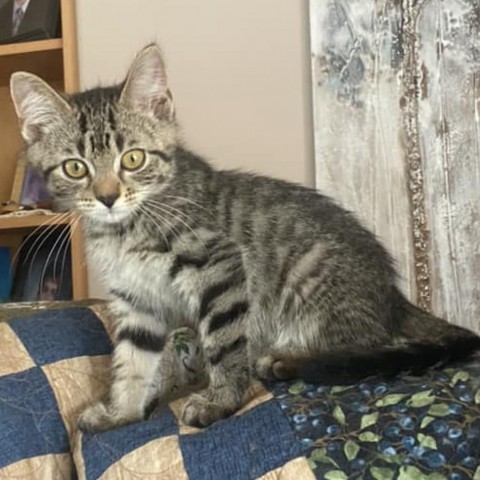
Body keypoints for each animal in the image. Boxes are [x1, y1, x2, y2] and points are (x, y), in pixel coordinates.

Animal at [10, 43, 480, 430]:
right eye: (75, 168)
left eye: (133, 159)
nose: (107, 198)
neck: (125, 229)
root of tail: (392, 295)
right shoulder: (136, 300)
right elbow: (131, 359)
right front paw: (121, 411)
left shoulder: (219, 266)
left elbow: (223, 342)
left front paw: (220, 401)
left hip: (312, 277)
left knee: (360, 346)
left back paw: (286, 360)